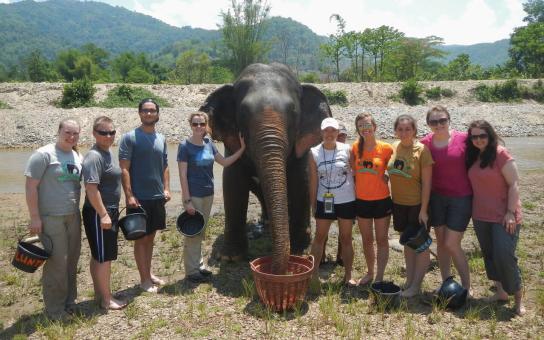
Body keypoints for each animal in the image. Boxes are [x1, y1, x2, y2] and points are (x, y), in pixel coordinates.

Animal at [199, 62, 330, 274]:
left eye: (293, 112)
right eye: (243, 113)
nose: (279, 270)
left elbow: (301, 180)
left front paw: (301, 252)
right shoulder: (231, 144)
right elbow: (232, 183)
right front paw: (230, 258)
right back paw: (266, 223)